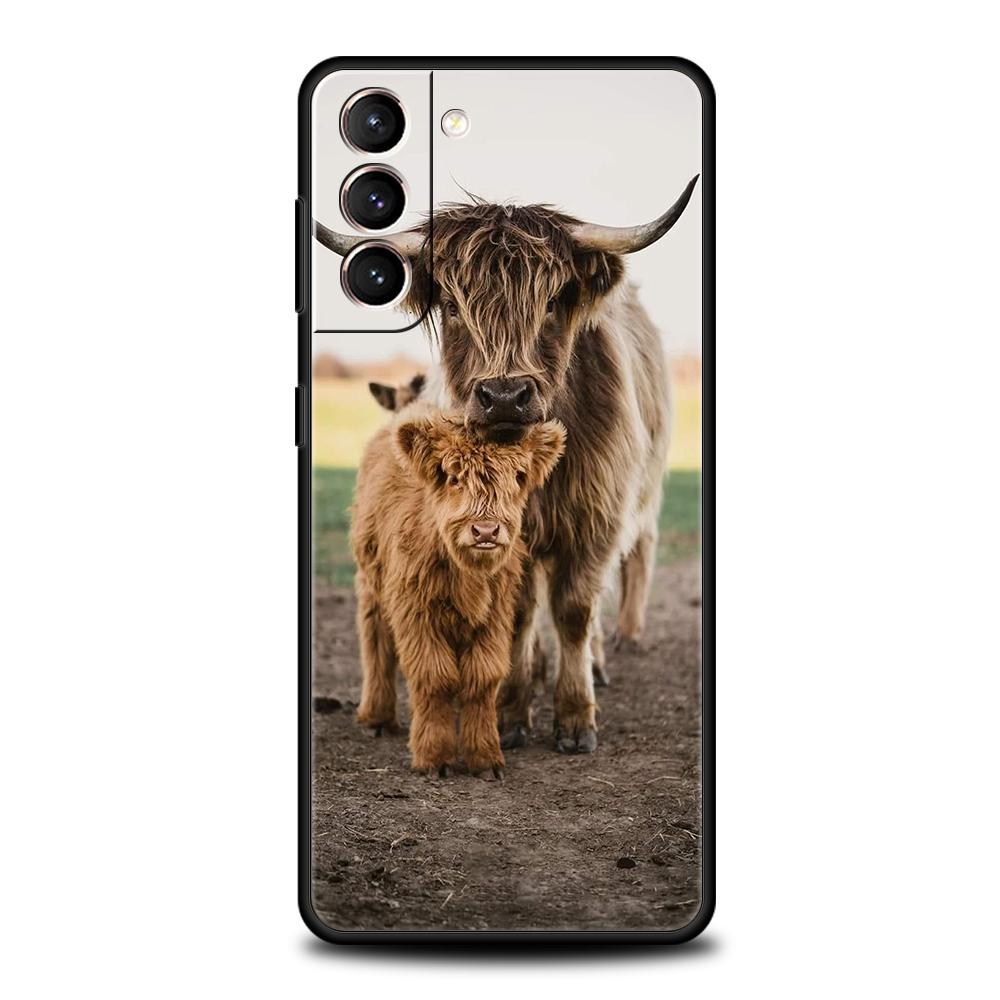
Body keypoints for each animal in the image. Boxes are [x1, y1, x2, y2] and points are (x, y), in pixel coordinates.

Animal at [351, 405, 565, 777]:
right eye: (454, 477)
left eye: (518, 476)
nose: (486, 531)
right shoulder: (416, 612)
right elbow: (435, 678)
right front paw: (435, 757)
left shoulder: (495, 615)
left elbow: (482, 679)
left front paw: (485, 757)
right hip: (371, 584)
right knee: (376, 643)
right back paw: (376, 717)